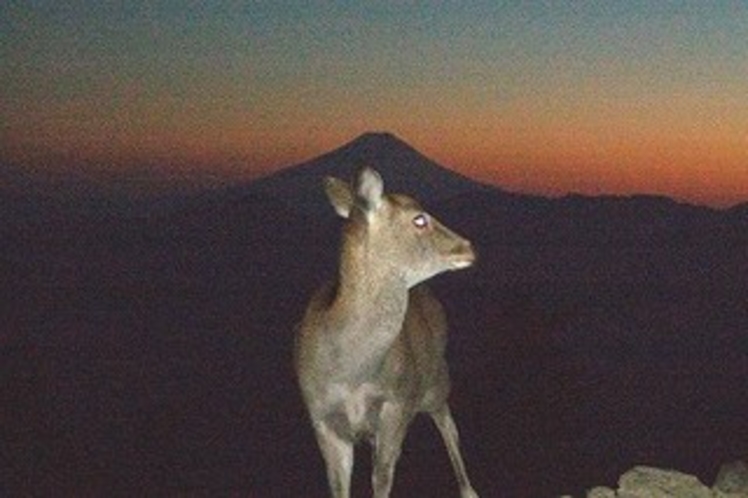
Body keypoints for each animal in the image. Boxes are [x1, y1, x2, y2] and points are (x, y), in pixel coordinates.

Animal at [294, 168, 480, 498]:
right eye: (419, 219)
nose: (468, 246)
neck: (352, 372)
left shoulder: (398, 400)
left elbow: (382, 476)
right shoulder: (320, 415)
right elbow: (338, 484)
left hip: (436, 378)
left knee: (448, 422)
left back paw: (469, 490)